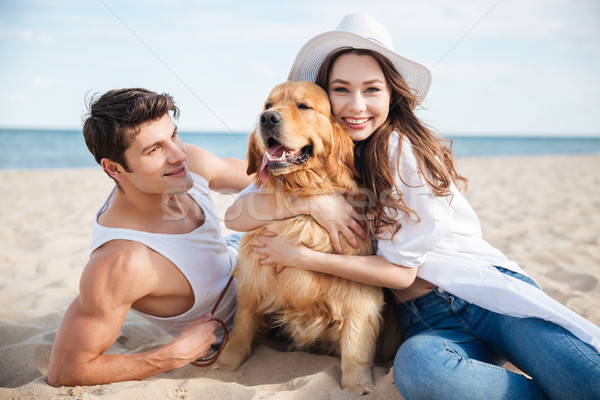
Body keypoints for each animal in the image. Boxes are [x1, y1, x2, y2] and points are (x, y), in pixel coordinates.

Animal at [216, 80, 384, 394]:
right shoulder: (250, 280)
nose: (267, 119)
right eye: (268, 105)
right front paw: (226, 364)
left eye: (303, 106)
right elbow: (242, 326)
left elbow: (355, 345)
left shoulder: (360, 295)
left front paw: (357, 385)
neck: (303, 191)